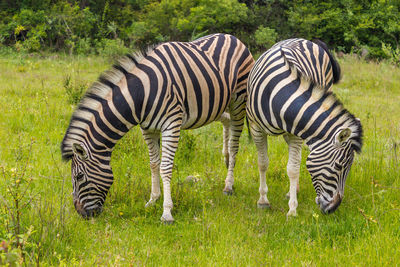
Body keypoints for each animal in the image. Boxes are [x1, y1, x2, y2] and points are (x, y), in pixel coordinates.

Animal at [61, 33, 255, 224]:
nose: (82, 214)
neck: (141, 94)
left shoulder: (171, 124)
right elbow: (154, 164)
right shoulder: (147, 129)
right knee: (227, 122)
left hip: (239, 101)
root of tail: (231, 36)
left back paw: (228, 184)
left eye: (79, 177)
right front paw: (152, 200)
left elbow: (165, 167)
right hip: (216, 105)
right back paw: (226, 158)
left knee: (234, 143)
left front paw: (167, 212)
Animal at [247, 38, 362, 218]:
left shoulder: (296, 132)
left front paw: (292, 209)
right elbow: (263, 163)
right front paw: (263, 200)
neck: (279, 96)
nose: (332, 209)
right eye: (339, 166)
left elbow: (293, 168)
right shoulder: (256, 128)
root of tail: (305, 40)